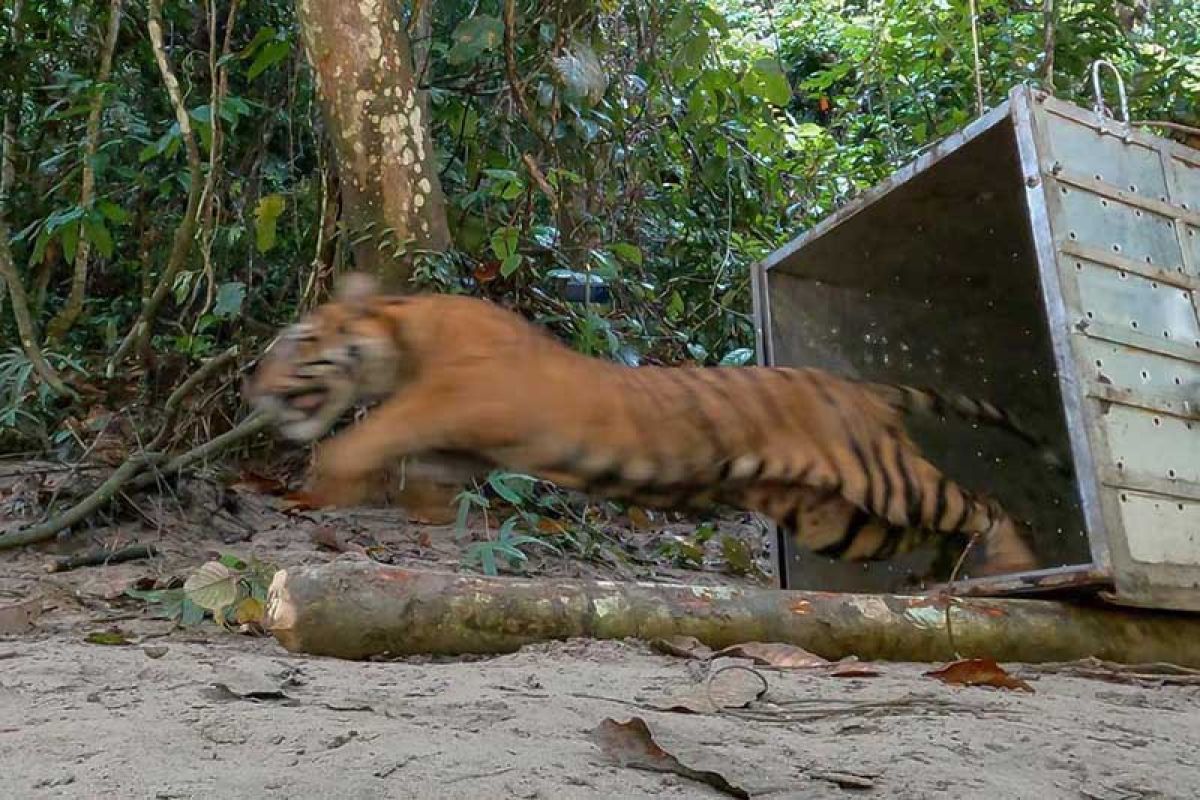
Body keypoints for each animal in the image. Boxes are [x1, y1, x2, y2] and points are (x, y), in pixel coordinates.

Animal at [246, 273, 1051, 575]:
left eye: (298, 341)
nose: (252, 383)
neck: (400, 336)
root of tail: (865, 388)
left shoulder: (456, 396)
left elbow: (370, 431)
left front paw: (323, 482)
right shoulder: (459, 445)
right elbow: (415, 467)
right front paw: (410, 506)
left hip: (883, 479)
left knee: (981, 502)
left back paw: (1010, 564)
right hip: (841, 519)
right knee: (941, 526)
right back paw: (950, 577)